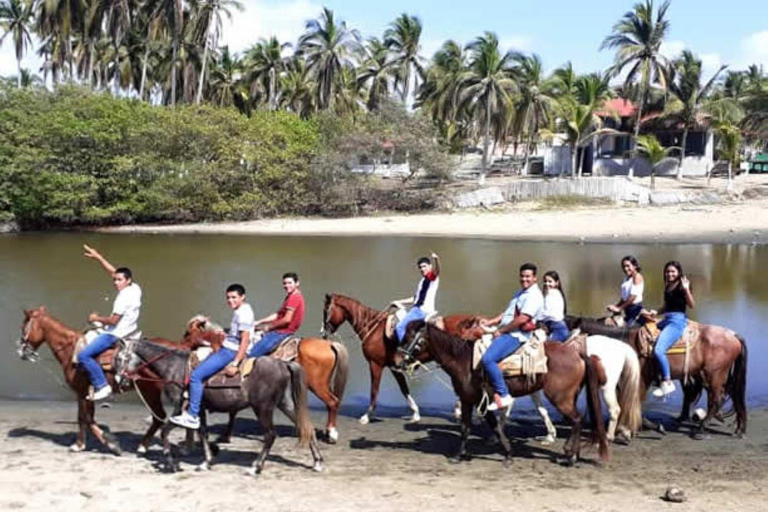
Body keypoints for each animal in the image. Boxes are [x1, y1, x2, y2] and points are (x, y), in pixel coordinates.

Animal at [15, 306, 190, 454]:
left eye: (23, 327)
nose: (21, 351)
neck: (71, 350)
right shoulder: (88, 393)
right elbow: (89, 418)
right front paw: (96, 443)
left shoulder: (81, 392)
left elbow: (84, 418)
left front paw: (92, 444)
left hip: (149, 390)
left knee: (159, 416)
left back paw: (144, 446)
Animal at [117, 338, 324, 474]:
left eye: (120, 358)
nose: (120, 380)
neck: (175, 367)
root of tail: (283, 364)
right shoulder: (198, 410)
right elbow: (203, 433)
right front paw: (206, 461)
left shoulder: (179, 407)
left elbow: (165, 432)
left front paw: (171, 463)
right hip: (285, 404)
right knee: (306, 427)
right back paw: (317, 462)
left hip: (262, 408)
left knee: (270, 435)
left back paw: (256, 467)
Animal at [184, 314, 350, 442]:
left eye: (188, 333)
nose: (182, 345)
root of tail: (329, 344)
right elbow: (233, 410)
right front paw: (226, 435)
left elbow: (233, 410)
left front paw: (226, 435)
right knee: (332, 403)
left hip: (317, 385)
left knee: (333, 402)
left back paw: (331, 434)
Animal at [568, 314, 748, 438]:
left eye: (573, 338)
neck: (626, 343)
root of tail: (733, 335)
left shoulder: (640, 380)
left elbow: (634, 403)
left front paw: (630, 429)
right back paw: (738, 429)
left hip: (714, 375)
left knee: (716, 399)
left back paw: (701, 427)